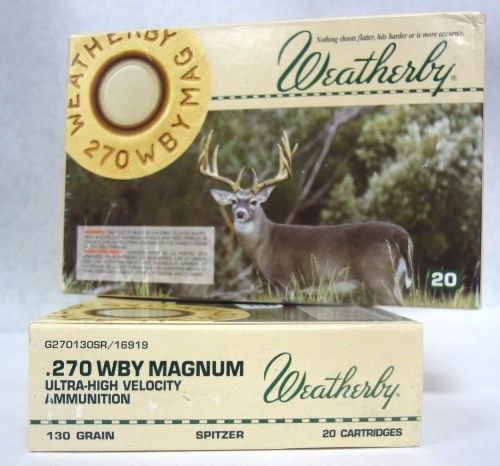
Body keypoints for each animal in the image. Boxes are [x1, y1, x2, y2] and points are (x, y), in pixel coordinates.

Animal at [198, 130, 413, 305]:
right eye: (234, 201)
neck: (265, 243)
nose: (240, 214)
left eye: (254, 202)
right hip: (395, 279)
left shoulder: (285, 280)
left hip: (379, 277)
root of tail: (402, 237)